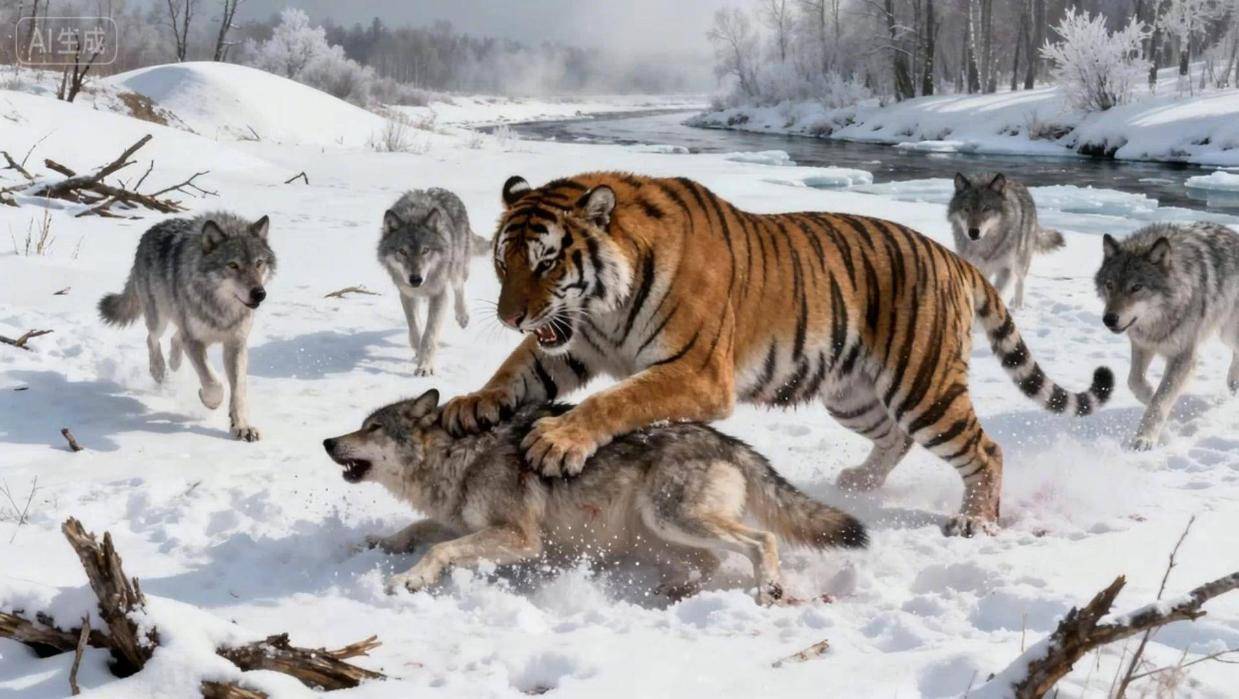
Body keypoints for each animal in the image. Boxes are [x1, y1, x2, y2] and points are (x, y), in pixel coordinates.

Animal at [441, 172, 1114, 536]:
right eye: (502, 262)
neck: (604, 303)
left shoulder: (697, 371)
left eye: (547, 262)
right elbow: (515, 370)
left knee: (986, 449)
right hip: (854, 394)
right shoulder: (575, 341)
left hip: (923, 386)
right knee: (893, 437)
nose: (510, 316)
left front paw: (557, 442)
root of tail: (952, 256)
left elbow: (618, 398)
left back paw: (976, 520)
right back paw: (860, 480)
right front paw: (469, 404)